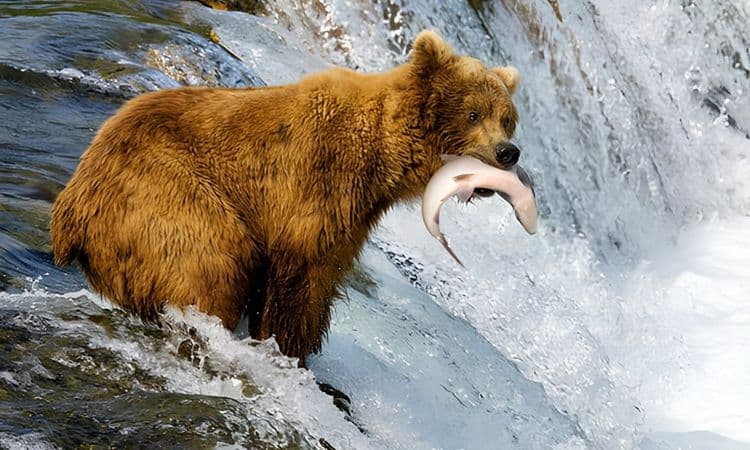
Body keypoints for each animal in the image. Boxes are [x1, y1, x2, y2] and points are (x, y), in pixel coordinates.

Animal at [50, 30, 522, 363]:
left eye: (507, 119)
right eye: (473, 114)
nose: (508, 152)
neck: (382, 155)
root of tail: (68, 210)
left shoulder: (354, 214)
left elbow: (323, 279)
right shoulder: (318, 183)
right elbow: (300, 276)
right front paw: (286, 348)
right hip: (165, 191)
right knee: (214, 260)